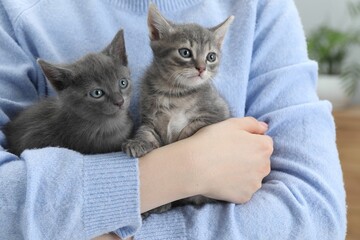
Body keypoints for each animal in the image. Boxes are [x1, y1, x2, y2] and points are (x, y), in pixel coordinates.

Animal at [123, 4, 233, 214]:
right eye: (185, 52)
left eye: (211, 57)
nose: (201, 68)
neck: (174, 93)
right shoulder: (149, 118)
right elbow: (146, 132)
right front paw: (138, 143)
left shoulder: (218, 113)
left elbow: (191, 127)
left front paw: (180, 138)